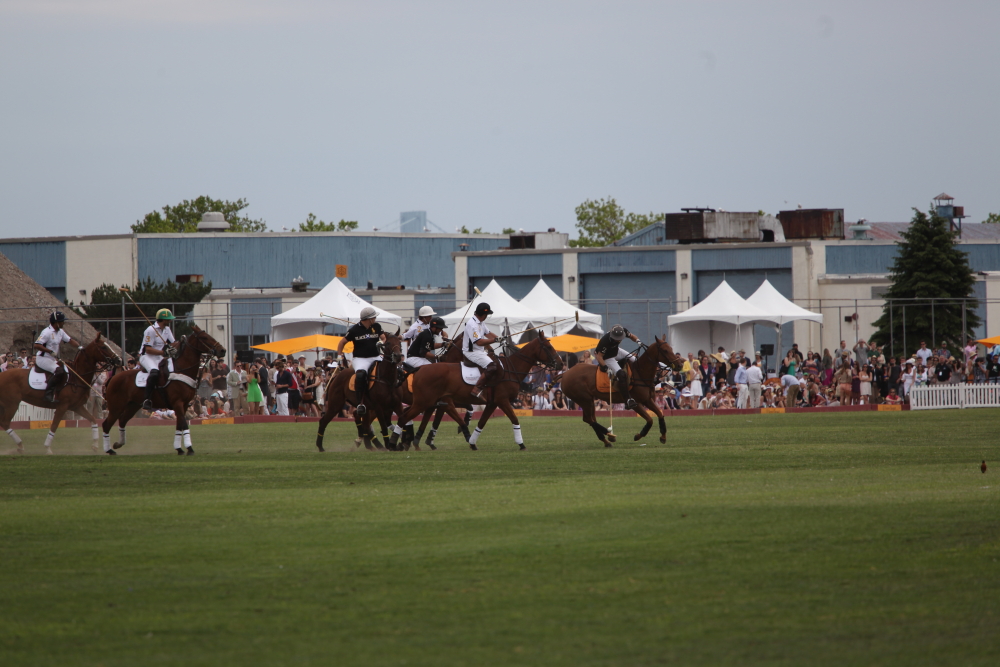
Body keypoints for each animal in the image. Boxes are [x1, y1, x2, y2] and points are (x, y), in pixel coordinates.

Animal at [101, 324, 225, 460]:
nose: (222, 350)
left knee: (122, 421)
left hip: (132, 406)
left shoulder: (184, 404)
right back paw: (109, 450)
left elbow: (179, 425)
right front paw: (189, 448)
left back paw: (118, 444)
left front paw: (179, 449)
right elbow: (184, 424)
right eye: (204, 337)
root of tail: (113, 378)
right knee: (106, 424)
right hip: (116, 406)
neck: (182, 369)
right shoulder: (177, 403)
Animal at [388, 334, 564, 454]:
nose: (561, 364)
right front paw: (521, 444)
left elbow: (481, 423)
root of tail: (419, 369)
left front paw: (472, 443)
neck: (510, 369)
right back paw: (393, 443)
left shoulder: (492, 403)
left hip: (426, 402)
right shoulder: (502, 400)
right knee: (403, 417)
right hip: (422, 402)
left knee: (405, 416)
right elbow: (514, 419)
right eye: (548, 347)